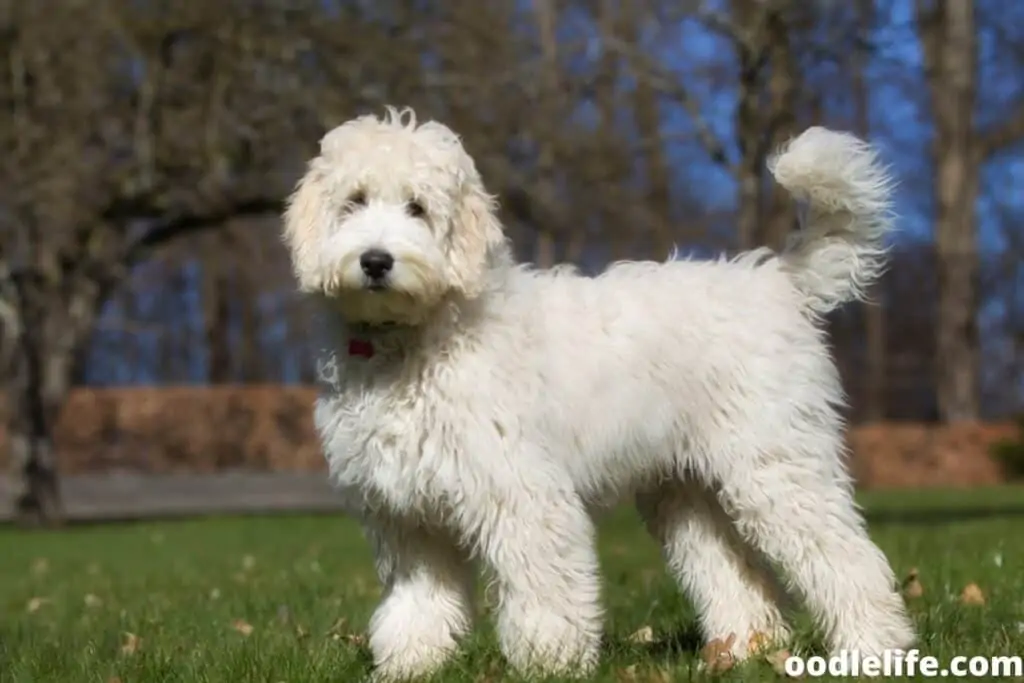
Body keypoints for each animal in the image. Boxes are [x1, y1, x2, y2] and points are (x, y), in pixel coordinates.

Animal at [284, 107, 917, 679]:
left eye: (417, 207)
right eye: (354, 201)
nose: (376, 261)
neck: (413, 339)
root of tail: (777, 279)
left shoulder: (523, 494)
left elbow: (544, 587)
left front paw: (550, 661)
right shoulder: (409, 518)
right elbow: (418, 602)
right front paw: (409, 665)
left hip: (777, 467)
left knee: (846, 558)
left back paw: (870, 650)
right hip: (689, 492)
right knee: (736, 576)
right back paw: (740, 652)